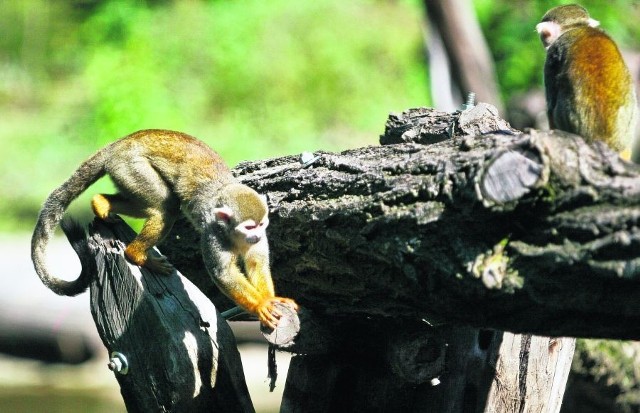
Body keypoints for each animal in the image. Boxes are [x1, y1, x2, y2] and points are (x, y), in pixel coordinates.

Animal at [31, 129, 298, 328]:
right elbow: (223, 273)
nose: (256, 235)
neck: (233, 235)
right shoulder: (212, 234)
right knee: (165, 206)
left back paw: (101, 204)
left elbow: (257, 263)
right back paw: (137, 254)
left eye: (262, 224)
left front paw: (271, 299)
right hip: (131, 167)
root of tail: (119, 144)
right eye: (249, 226)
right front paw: (261, 305)